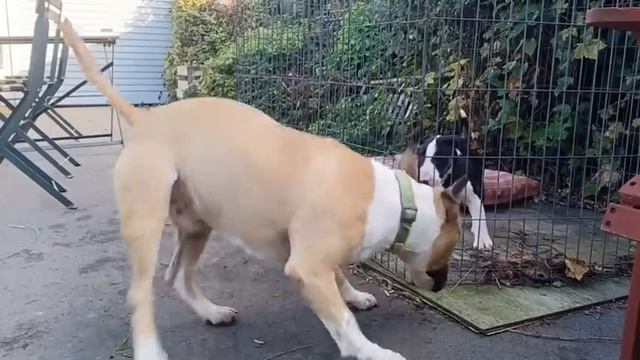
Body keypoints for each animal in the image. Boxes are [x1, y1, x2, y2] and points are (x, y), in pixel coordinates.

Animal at [61, 19, 464, 360]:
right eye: (452, 245)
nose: (443, 285)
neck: (397, 202)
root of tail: (144, 119)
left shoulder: (315, 256)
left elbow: (339, 275)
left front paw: (354, 295)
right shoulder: (307, 266)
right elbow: (343, 321)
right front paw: (370, 351)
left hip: (197, 225)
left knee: (179, 276)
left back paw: (212, 312)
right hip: (145, 223)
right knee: (140, 294)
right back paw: (149, 350)